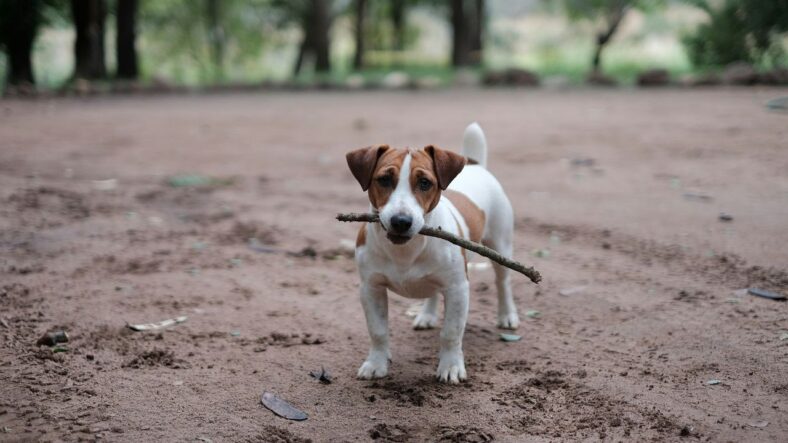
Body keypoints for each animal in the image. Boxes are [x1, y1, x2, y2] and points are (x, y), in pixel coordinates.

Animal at [344, 122, 516, 386]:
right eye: (384, 179)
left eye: (425, 183)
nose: (401, 221)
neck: (405, 251)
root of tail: (475, 164)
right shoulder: (370, 288)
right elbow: (378, 331)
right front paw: (376, 364)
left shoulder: (458, 289)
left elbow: (451, 333)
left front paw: (451, 366)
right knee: (433, 291)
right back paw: (426, 315)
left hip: (500, 246)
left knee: (503, 282)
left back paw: (507, 315)